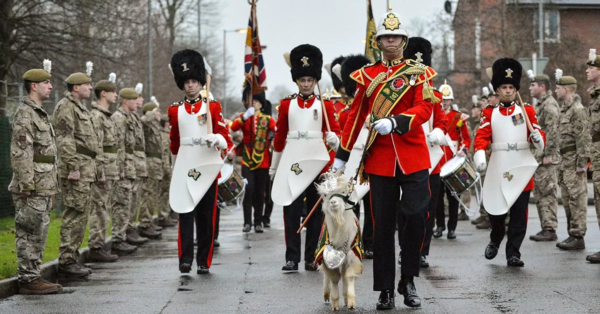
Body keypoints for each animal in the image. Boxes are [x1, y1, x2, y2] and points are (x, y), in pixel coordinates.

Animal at [316, 175, 364, 310]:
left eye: (343, 192)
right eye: (325, 195)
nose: (333, 202)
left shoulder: (353, 254)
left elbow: (349, 276)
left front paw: (351, 301)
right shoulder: (327, 256)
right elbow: (334, 278)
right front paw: (335, 303)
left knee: (344, 275)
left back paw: (346, 297)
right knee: (327, 276)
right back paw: (326, 294)